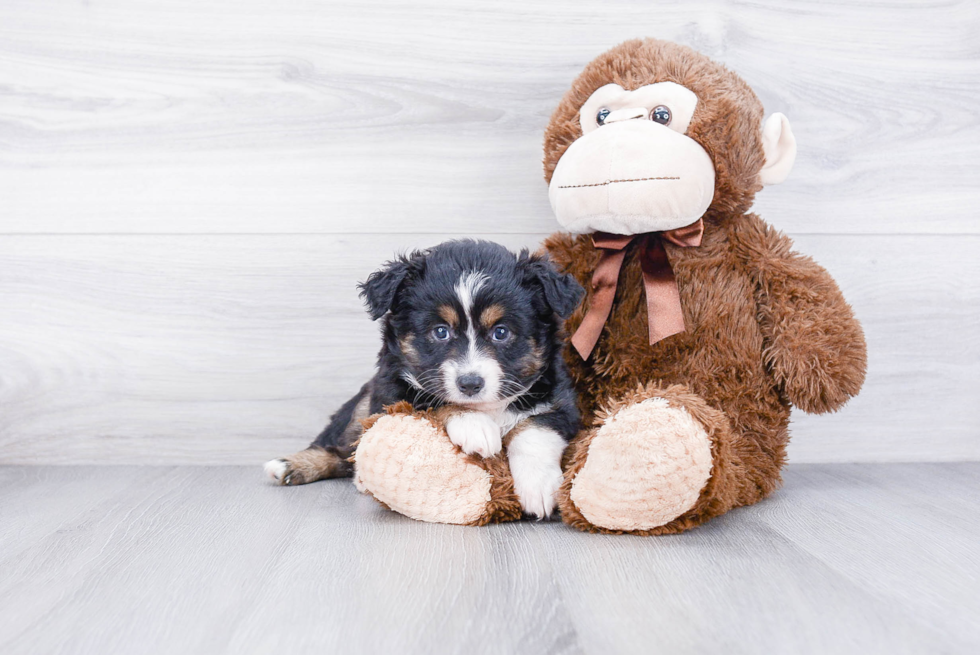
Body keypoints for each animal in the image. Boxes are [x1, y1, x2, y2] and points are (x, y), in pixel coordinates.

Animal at [262, 238, 580, 520]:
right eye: (440, 331)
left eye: (501, 332)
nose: (470, 384)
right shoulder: (390, 394)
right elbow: (432, 402)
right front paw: (474, 426)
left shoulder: (563, 402)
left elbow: (533, 428)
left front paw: (539, 487)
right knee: (340, 449)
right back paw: (291, 466)